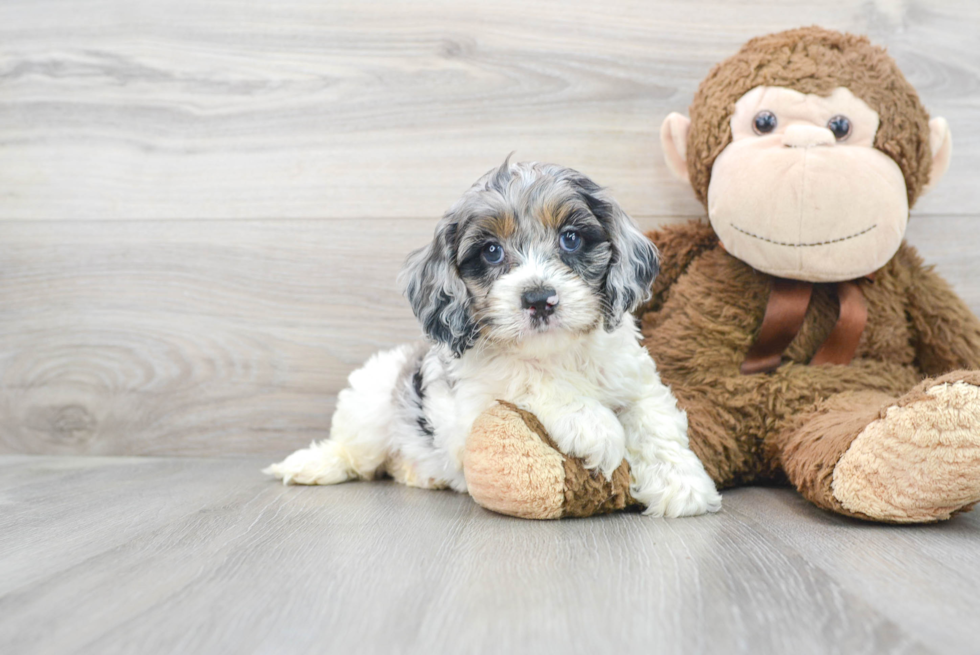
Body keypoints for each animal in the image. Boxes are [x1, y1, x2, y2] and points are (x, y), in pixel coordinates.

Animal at [266, 160, 720, 516]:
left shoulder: (637, 379)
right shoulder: (475, 400)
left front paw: (682, 484)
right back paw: (312, 465)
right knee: (355, 454)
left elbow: (655, 422)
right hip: (370, 404)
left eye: (571, 238)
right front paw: (596, 426)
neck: (557, 353)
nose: (539, 299)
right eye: (490, 251)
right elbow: (526, 376)